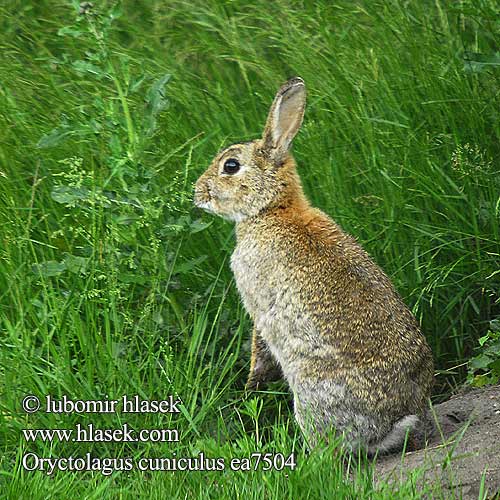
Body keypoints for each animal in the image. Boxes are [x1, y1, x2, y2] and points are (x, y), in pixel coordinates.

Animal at [194, 77, 434, 454]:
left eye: (230, 166)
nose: (197, 192)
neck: (271, 210)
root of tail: (390, 424)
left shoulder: (257, 303)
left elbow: (259, 342)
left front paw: (252, 381)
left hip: (310, 391)